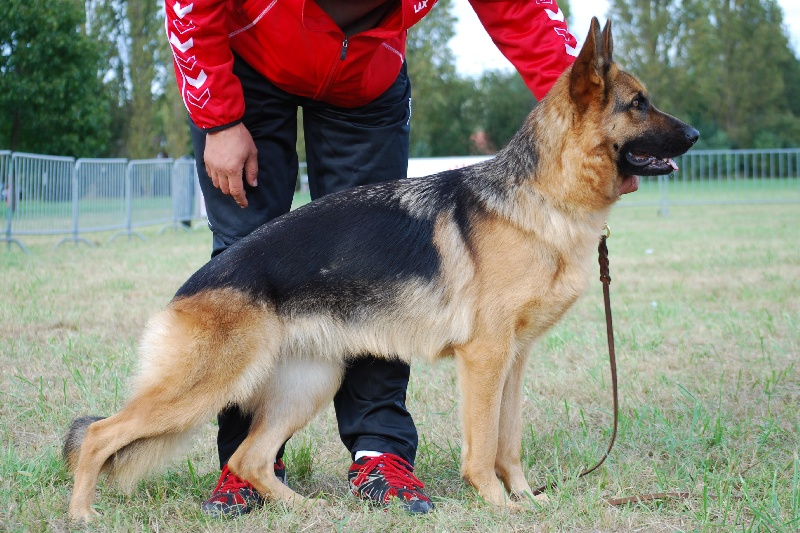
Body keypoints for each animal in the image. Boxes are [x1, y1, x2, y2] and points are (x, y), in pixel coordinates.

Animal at [63, 18, 698, 520]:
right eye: (638, 103)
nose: (693, 133)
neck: (542, 195)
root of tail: (192, 285)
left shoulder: (513, 362)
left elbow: (509, 442)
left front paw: (528, 499)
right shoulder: (485, 359)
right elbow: (482, 448)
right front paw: (498, 506)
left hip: (309, 382)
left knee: (250, 458)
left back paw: (305, 510)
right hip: (203, 386)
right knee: (98, 434)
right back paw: (83, 514)